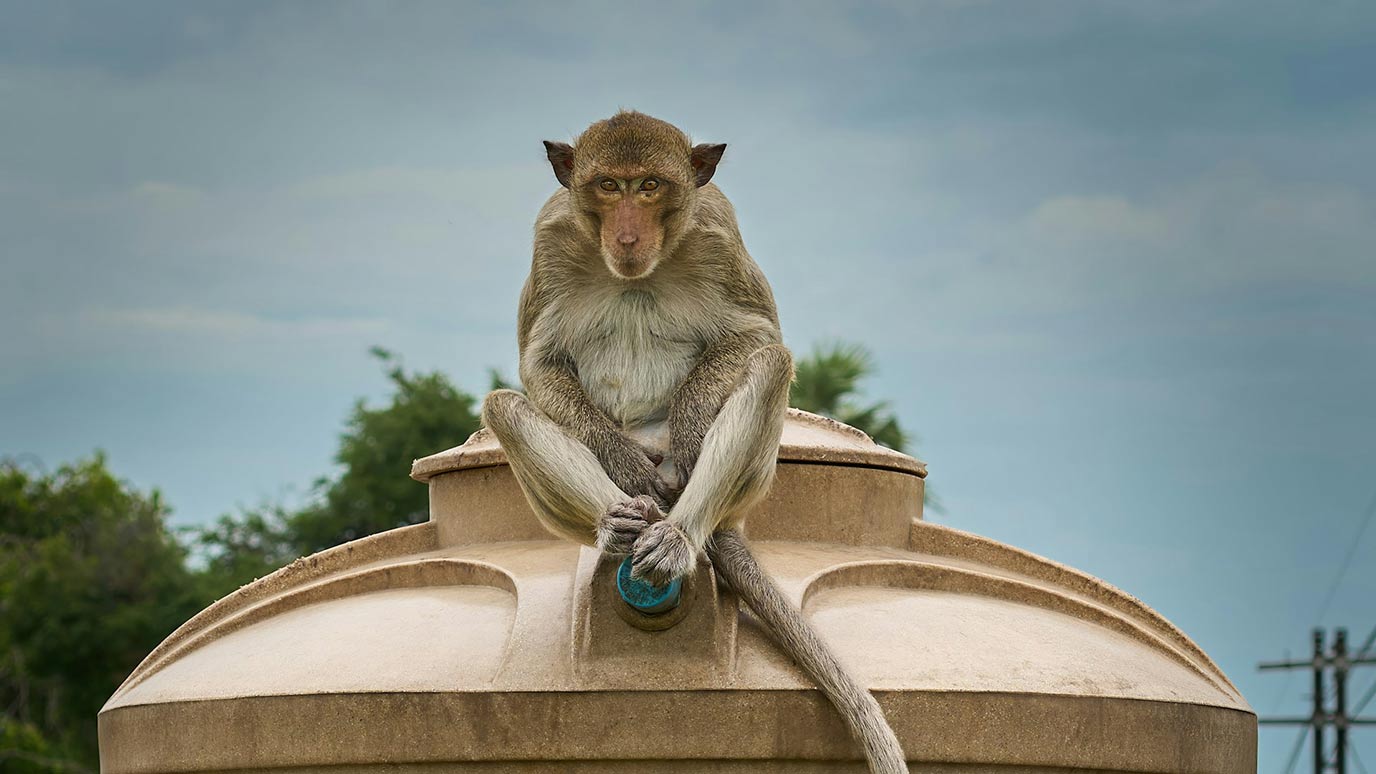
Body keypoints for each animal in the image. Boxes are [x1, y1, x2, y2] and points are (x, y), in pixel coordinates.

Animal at [480, 111, 906, 774]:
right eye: (609, 186)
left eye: (651, 186)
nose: (629, 236)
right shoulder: (551, 239)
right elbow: (539, 363)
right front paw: (620, 459)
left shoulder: (717, 237)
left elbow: (756, 335)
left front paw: (689, 424)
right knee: (507, 408)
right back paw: (621, 519)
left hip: (740, 486)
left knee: (769, 366)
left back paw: (677, 534)